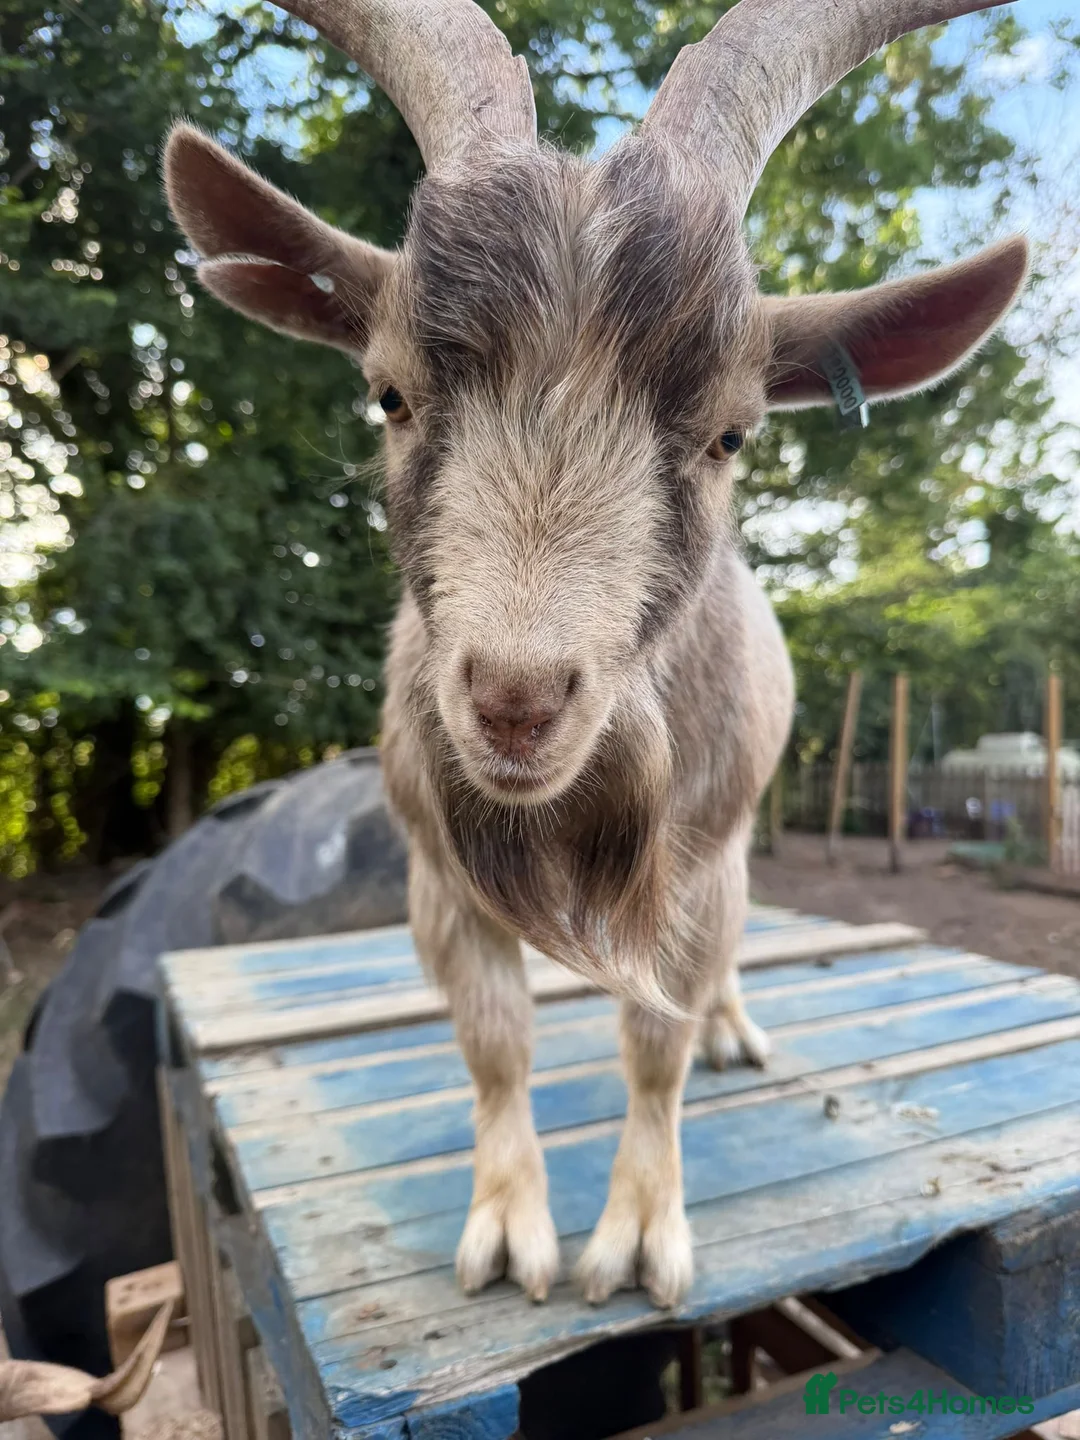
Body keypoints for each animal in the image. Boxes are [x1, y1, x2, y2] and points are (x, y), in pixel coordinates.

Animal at [164, 0, 1026, 1309]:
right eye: (389, 396)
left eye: (731, 435)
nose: (518, 700)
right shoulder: (436, 874)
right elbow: (492, 1041)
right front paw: (508, 1228)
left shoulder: (694, 860)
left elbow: (654, 1044)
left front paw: (637, 1237)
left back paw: (731, 1028)